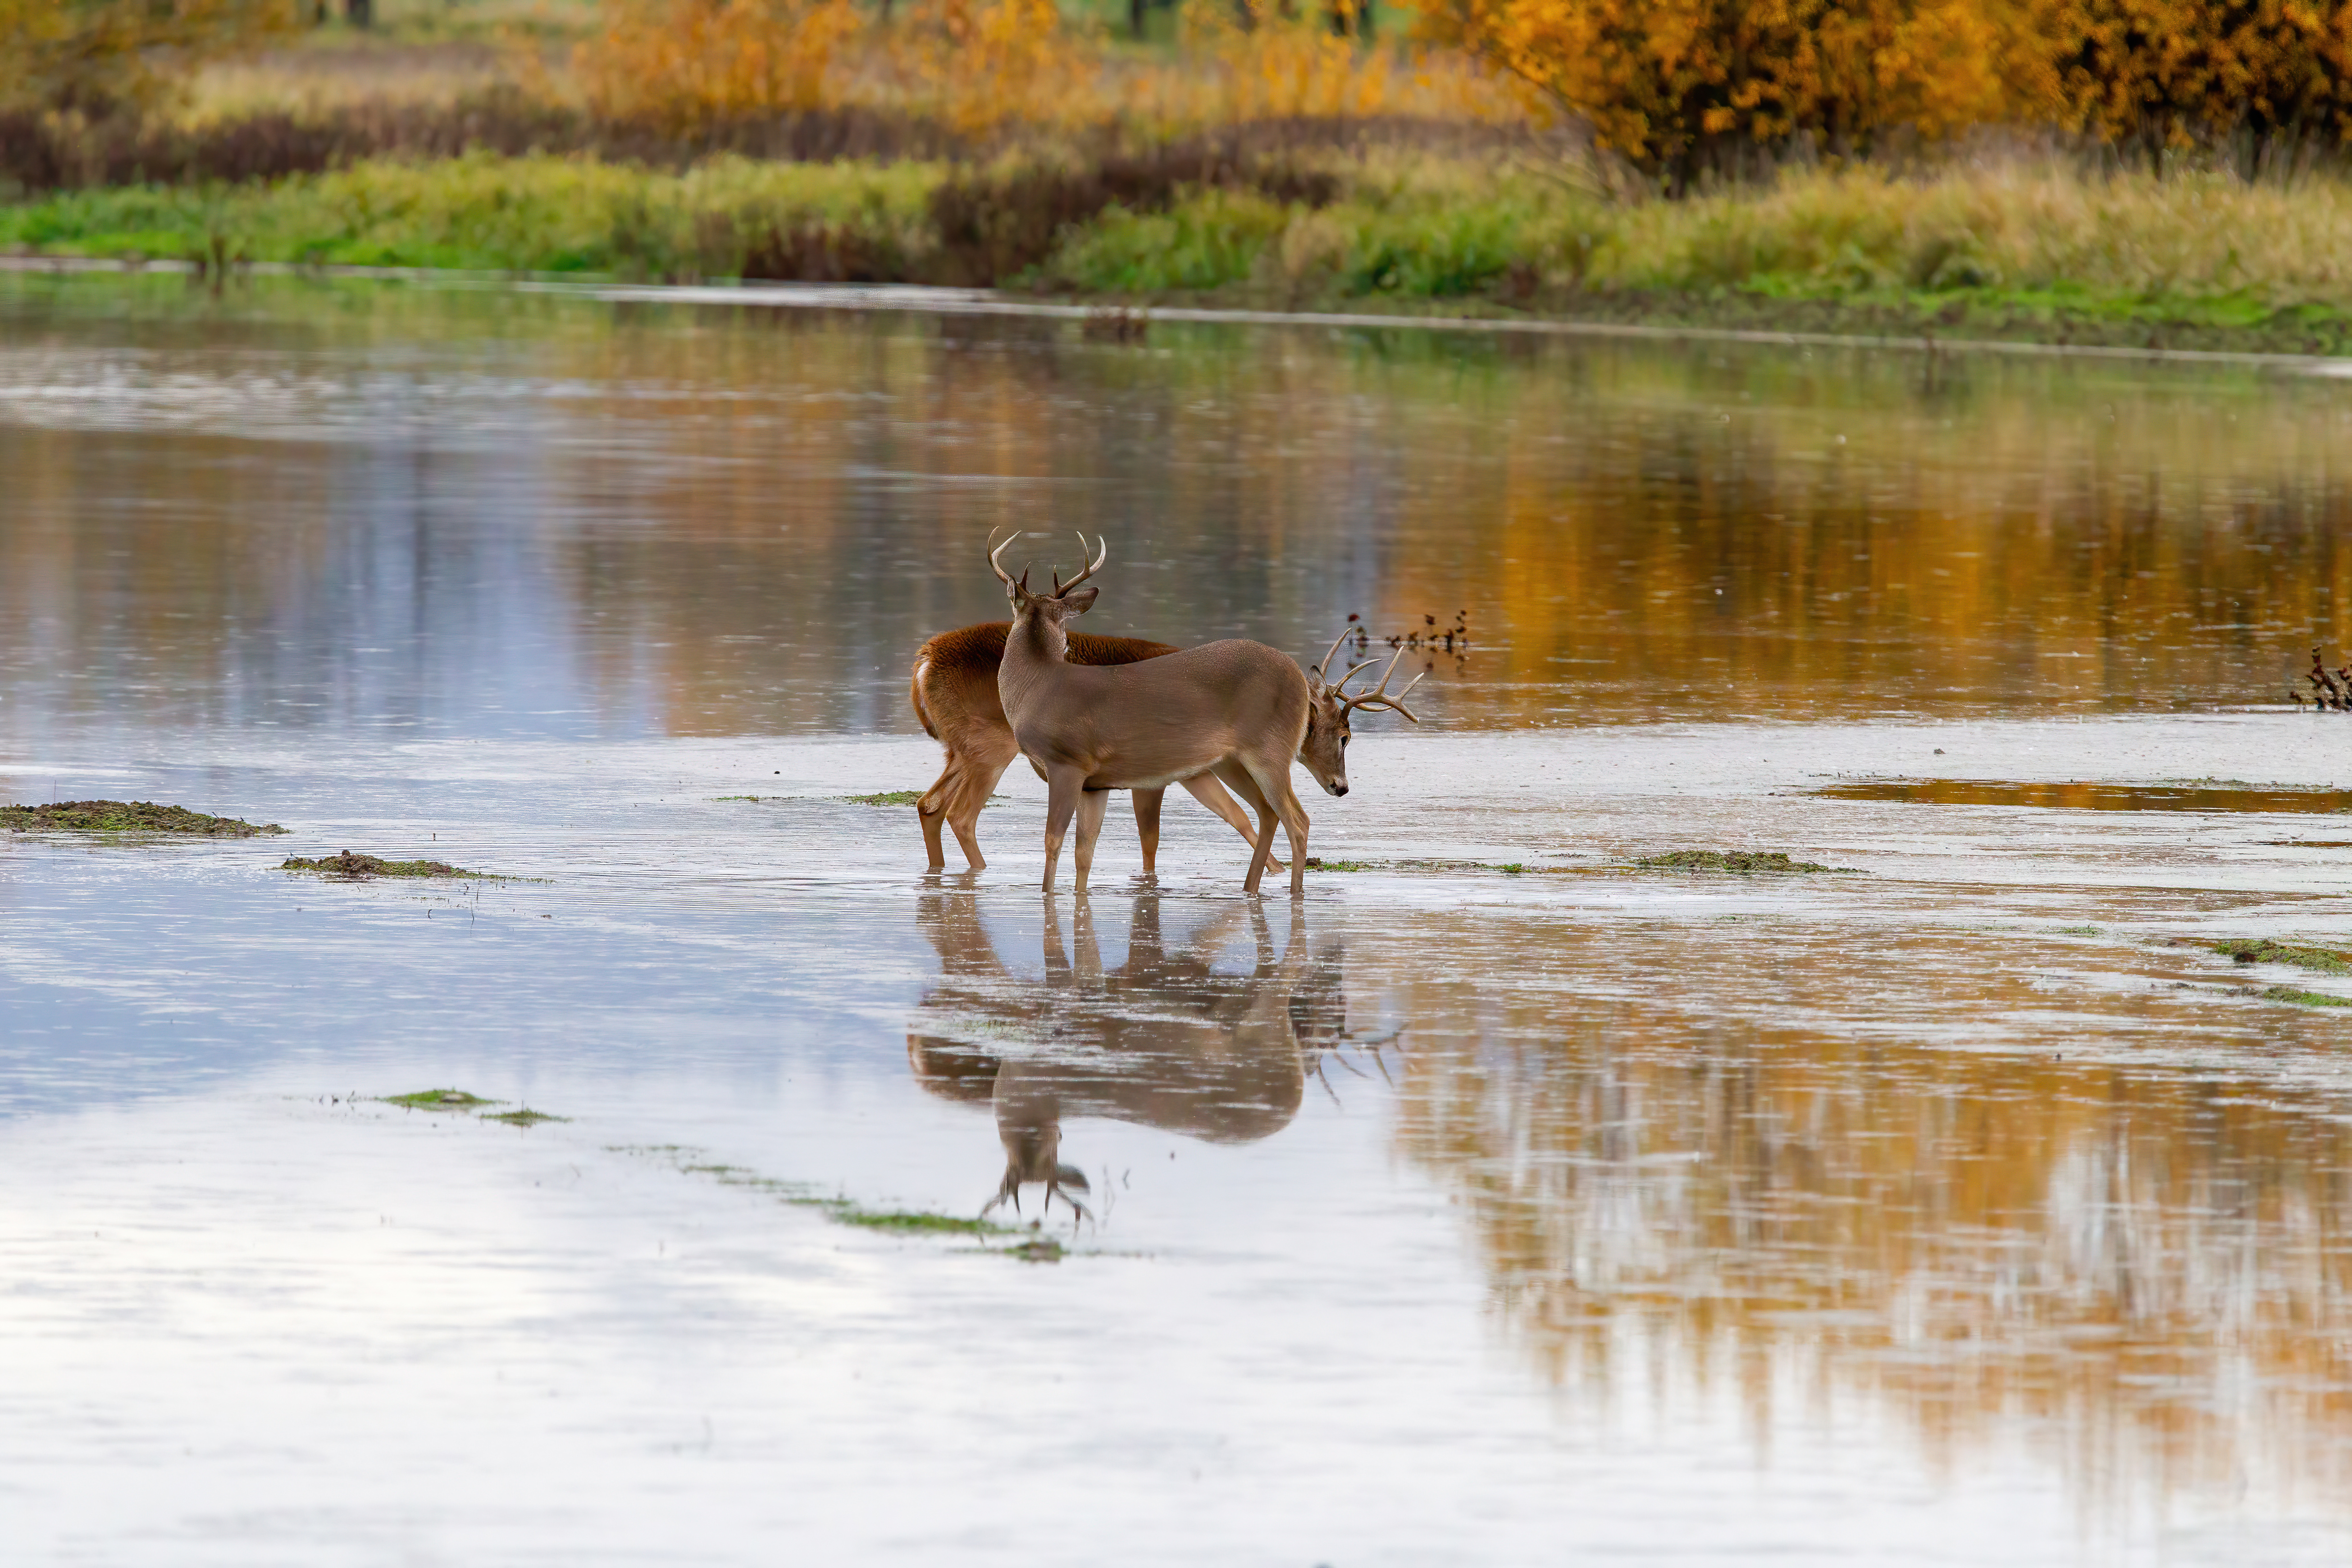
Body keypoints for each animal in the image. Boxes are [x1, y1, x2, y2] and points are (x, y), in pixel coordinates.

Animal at [909, 621, 1276, 875]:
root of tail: (926, 661)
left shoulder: (1192, 770)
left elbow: (1236, 815)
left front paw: (1277, 870)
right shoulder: (1158, 772)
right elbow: (1151, 838)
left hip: (962, 748)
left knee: (929, 805)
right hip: (991, 746)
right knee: (960, 815)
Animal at [989, 530, 1422, 896]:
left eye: (1348, 739)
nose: (1342, 786)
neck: (1039, 688)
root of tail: (1299, 678)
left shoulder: (1067, 762)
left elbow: (1052, 841)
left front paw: (1045, 895)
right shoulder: (1096, 784)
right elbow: (1085, 853)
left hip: (1268, 752)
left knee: (1297, 820)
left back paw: (1293, 894)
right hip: (1234, 761)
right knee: (1268, 814)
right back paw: (1250, 890)